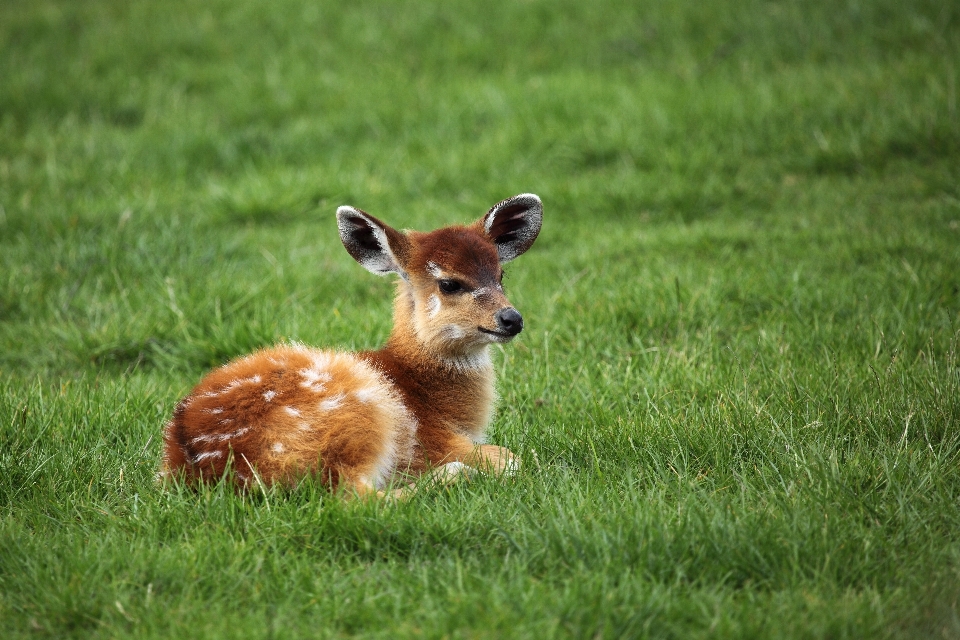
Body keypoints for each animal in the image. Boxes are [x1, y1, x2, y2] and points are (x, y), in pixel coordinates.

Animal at [161, 192, 544, 498]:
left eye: (501, 275)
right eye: (449, 283)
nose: (512, 318)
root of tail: (194, 468)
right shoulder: (434, 441)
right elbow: (512, 458)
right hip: (360, 415)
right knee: (354, 496)